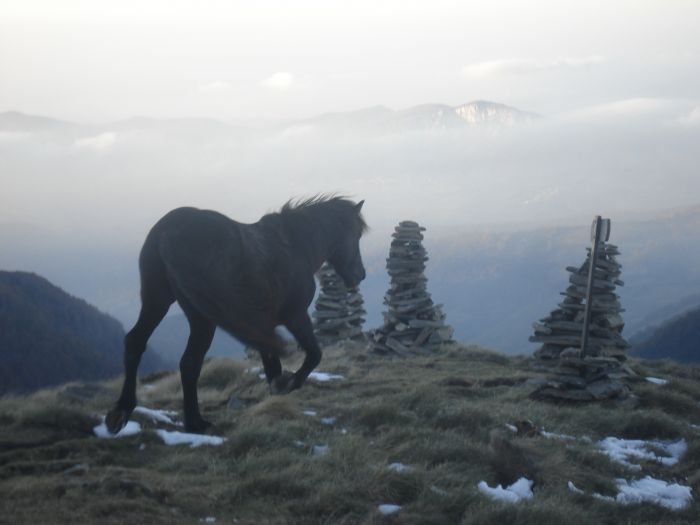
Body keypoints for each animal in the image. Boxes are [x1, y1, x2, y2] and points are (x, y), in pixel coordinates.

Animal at [105, 194, 366, 432]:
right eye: (357, 235)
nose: (360, 274)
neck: (294, 245)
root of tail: (167, 233)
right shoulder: (296, 316)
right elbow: (314, 354)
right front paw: (286, 384)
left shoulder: (265, 327)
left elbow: (272, 364)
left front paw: (275, 396)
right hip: (202, 318)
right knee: (189, 362)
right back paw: (195, 423)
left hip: (157, 301)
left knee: (137, 342)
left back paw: (122, 411)